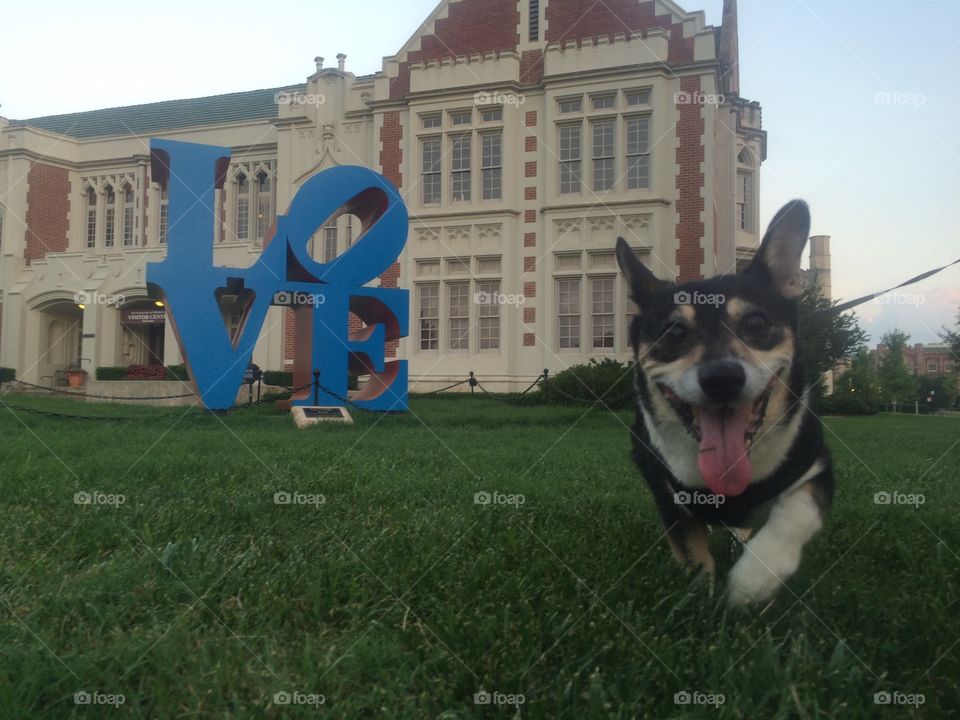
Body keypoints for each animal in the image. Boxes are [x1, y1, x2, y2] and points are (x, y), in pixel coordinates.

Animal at [616, 200, 832, 604]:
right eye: (673, 332)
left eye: (756, 322)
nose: (722, 378)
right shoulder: (664, 489)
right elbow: (691, 548)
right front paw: (701, 593)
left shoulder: (816, 468)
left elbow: (795, 514)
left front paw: (754, 579)